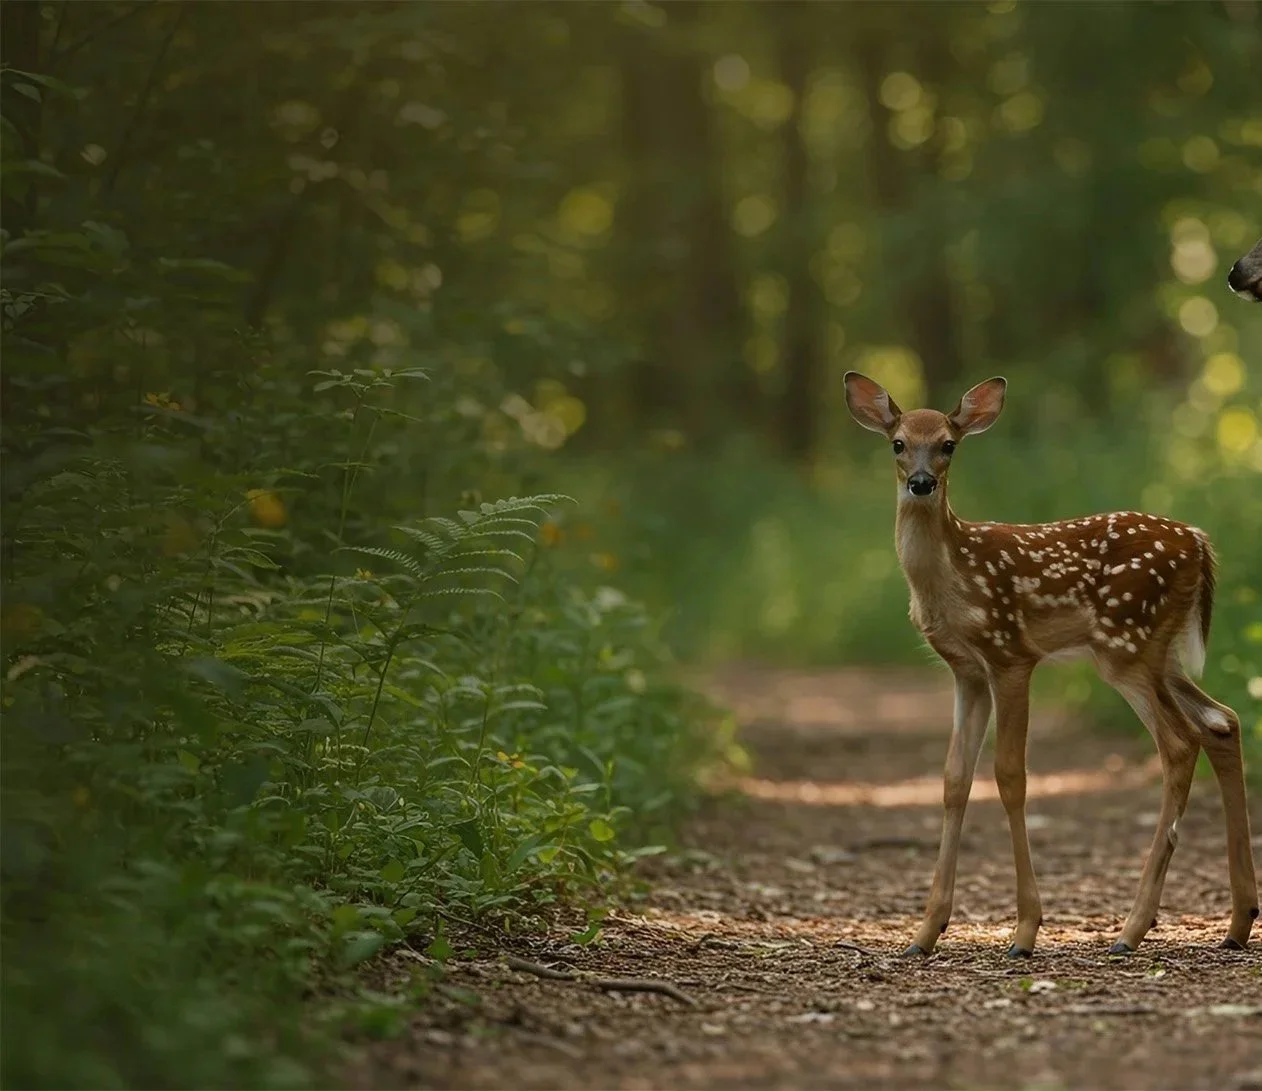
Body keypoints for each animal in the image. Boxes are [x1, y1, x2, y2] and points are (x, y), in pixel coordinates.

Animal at [843, 371, 1258, 958]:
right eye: (898, 443)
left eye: (948, 444)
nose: (922, 483)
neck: (950, 579)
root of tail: (1200, 544)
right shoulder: (966, 671)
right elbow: (954, 778)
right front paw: (924, 934)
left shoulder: (1011, 655)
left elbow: (1010, 775)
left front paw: (1024, 932)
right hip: (1160, 654)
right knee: (1222, 722)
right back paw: (1238, 922)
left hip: (1126, 645)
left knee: (1180, 743)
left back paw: (1131, 930)